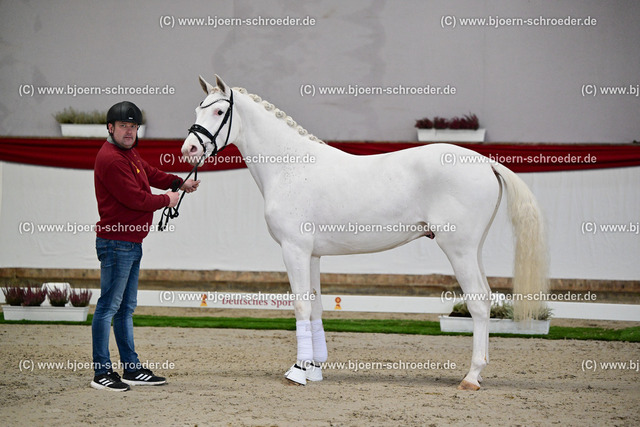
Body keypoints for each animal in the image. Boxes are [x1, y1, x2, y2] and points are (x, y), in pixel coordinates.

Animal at [181, 75, 548, 390]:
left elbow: (300, 306)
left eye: (219, 111)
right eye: (198, 107)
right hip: (474, 249)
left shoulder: (293, 249)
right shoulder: (312, 254)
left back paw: (471, 376)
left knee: (479, 302)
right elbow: (316, 307)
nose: (189, 150)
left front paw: (297, 371)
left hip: (459, 249)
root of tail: (485, 162)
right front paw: (314, 369)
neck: (290, 166)